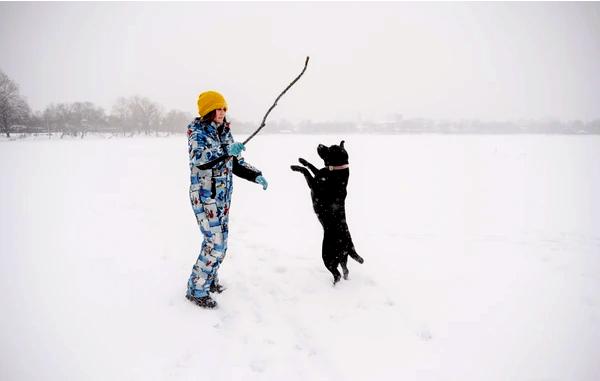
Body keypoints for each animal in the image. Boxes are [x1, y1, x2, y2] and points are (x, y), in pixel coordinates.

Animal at [292, 140, 366, 282]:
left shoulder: (314, 185)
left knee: (337, 274)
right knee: (345, 270)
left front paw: (295, 167)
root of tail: (349, 245)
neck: (335, 171)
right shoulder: (319, 173)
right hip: (342, 258)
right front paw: (302, 160)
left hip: (327, 257)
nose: (319, 144)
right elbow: (312, 166)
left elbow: (306, 171)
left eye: (330, 149)